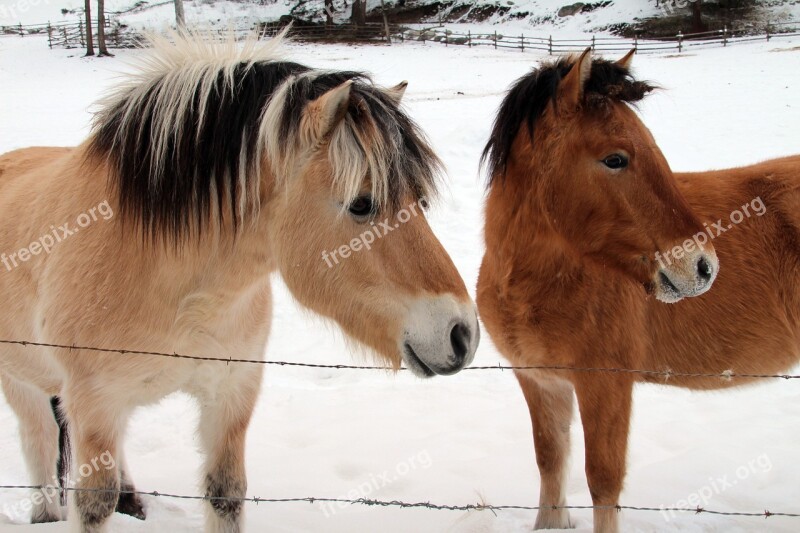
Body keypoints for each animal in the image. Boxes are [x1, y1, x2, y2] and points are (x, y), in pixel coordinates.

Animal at [0, 32, 482, 528]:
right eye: (362, 204)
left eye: (418, 199)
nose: (462, 333)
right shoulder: (95, 402)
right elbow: (92, 501)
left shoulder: (231, 395)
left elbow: (224, 493)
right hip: (22, 383)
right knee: (38, 439)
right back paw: (45, 513)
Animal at [476, 47, 800, 528]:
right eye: (615, 159)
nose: (704, 267)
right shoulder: (540, 381)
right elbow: (551, 460)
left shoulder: (607, 385)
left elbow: (603, 482)